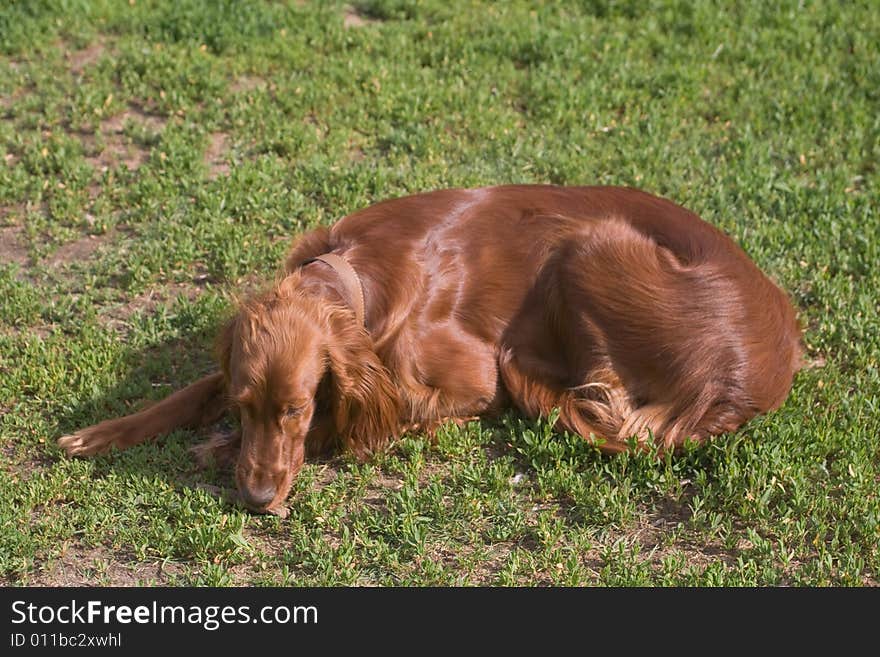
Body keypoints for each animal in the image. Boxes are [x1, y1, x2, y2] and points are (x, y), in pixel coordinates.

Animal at [55, 184, 800, 512]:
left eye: (296, 409)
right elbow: (191, 388)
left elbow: (371, 416)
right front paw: (104, 431)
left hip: (589, 245)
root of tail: (754, 374)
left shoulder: (475, 376)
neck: (356, 276)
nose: (258, 497)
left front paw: (221, 448)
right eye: (245, 405)